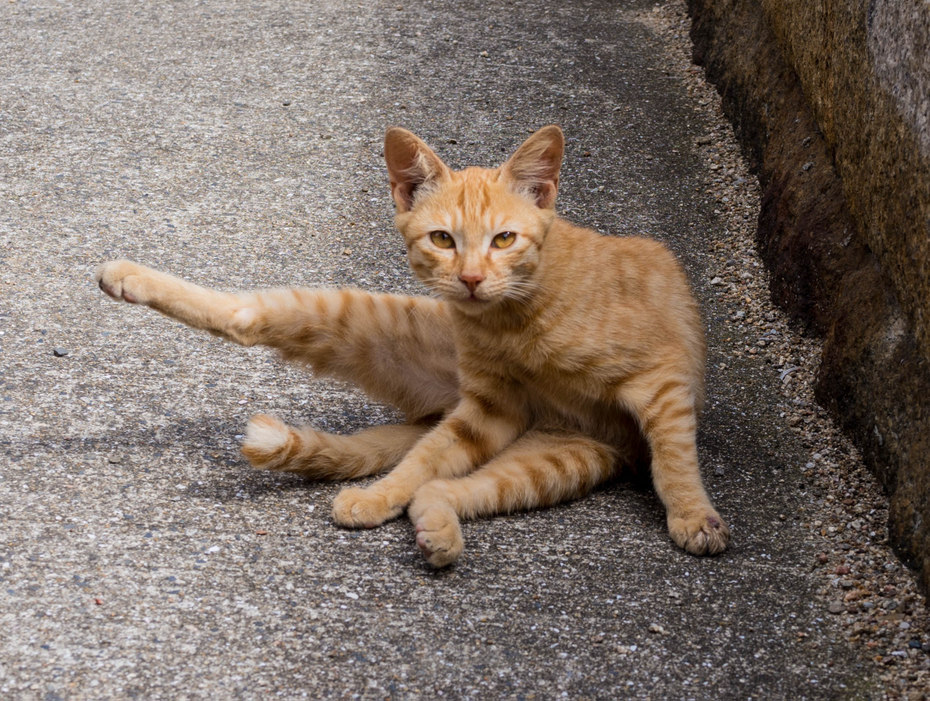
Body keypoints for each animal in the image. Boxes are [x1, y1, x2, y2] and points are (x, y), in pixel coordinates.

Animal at [98, 124, 728, 564]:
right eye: (443, 239)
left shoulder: (661, 380)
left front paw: (693, 515)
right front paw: (378, 497)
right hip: (367, 330)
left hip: (560, 456)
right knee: (248, 317)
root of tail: (439, 403)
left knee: (449, 487)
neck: (515, 320)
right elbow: (420, 463)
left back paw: (436, 528)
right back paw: (125, 276)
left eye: (504, 239)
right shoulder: (490, 408)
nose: (470, 278)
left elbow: (675, 458)